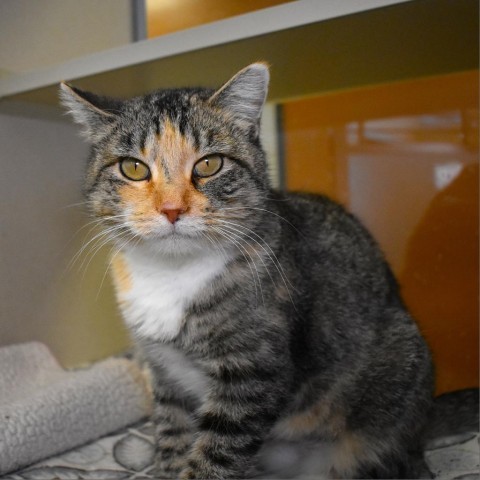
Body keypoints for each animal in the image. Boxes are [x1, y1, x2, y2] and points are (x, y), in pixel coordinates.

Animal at [60, 63, 436, 480]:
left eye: (209, 164)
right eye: (133, 167)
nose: (172, 209)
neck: (173, 274)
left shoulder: (252, 367)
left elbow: (218, 450)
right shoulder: (164, 370)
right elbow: (173, 434)